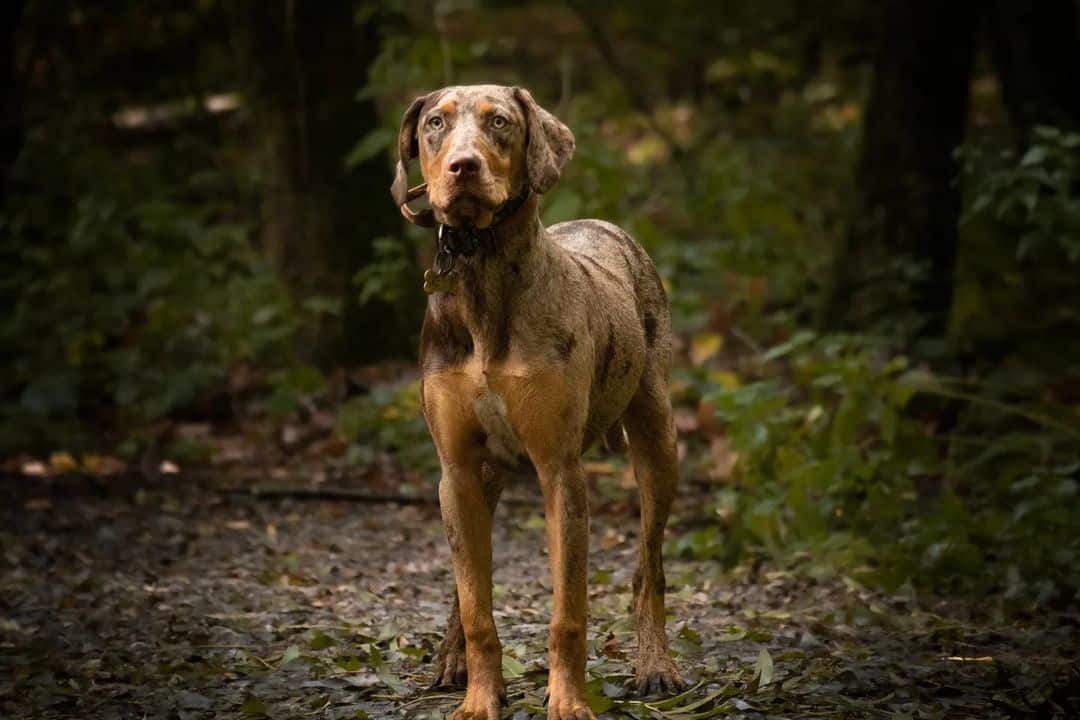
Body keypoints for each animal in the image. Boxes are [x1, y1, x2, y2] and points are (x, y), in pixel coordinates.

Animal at [390, 85, 682, 720]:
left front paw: (568, 702)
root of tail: (605, 224)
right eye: (434, 123)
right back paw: (450, 659)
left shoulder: (560, 471)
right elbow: (476, 606)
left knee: (649, 565)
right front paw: (479, 698)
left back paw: (656, 664)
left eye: (500, 122)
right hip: (482, 477)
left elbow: (567, 612)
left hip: (659, 436)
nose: (463, 167)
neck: (482, 270)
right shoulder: (457, 470)